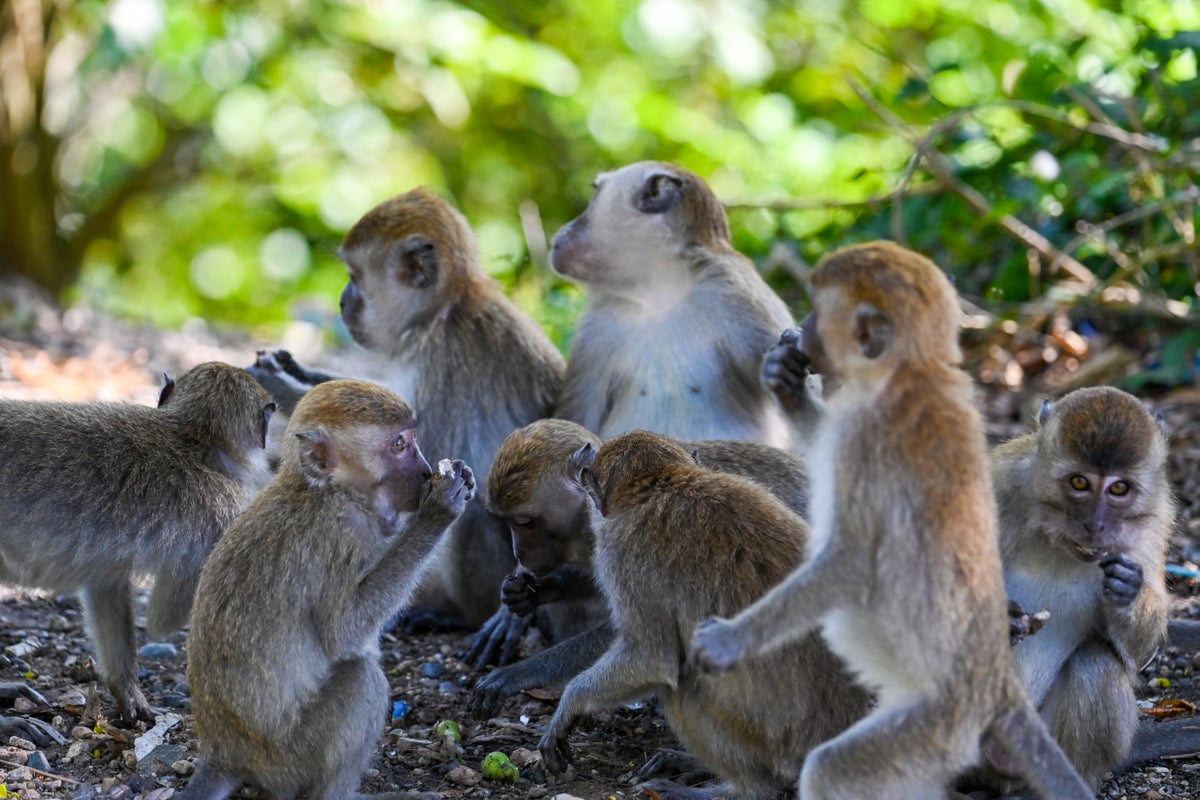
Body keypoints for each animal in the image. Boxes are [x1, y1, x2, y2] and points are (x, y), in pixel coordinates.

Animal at [181, 379, 472, 800]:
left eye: (410, 439)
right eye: (399, 444)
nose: (425, 471)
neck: (325, 491)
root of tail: (225, 751)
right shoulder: (342, 534)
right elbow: (343, 633)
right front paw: (439, 512)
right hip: (287, 759)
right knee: (361, 681)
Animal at [250, 188, 565, 632]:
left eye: (355, 275)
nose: (342, 300)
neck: (441, 312)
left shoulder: (439, 359)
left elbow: (421, 453)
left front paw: (287, 386)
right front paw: (298, 372)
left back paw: (460, 615)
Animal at [465, 418, 811, 714]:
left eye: (524, 522)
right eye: (506, 521)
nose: (519, 552)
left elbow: (637, 635)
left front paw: (518, 673)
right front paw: (533, 594)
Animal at [689, 241, 1092, 800]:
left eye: (820, 308)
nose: (803, 327)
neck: (910, 373)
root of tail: (996, 687)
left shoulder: (867, 440)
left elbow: (852, 559)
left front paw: (731, 639)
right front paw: (788, 386)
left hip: (936, 727)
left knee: (832, 770)